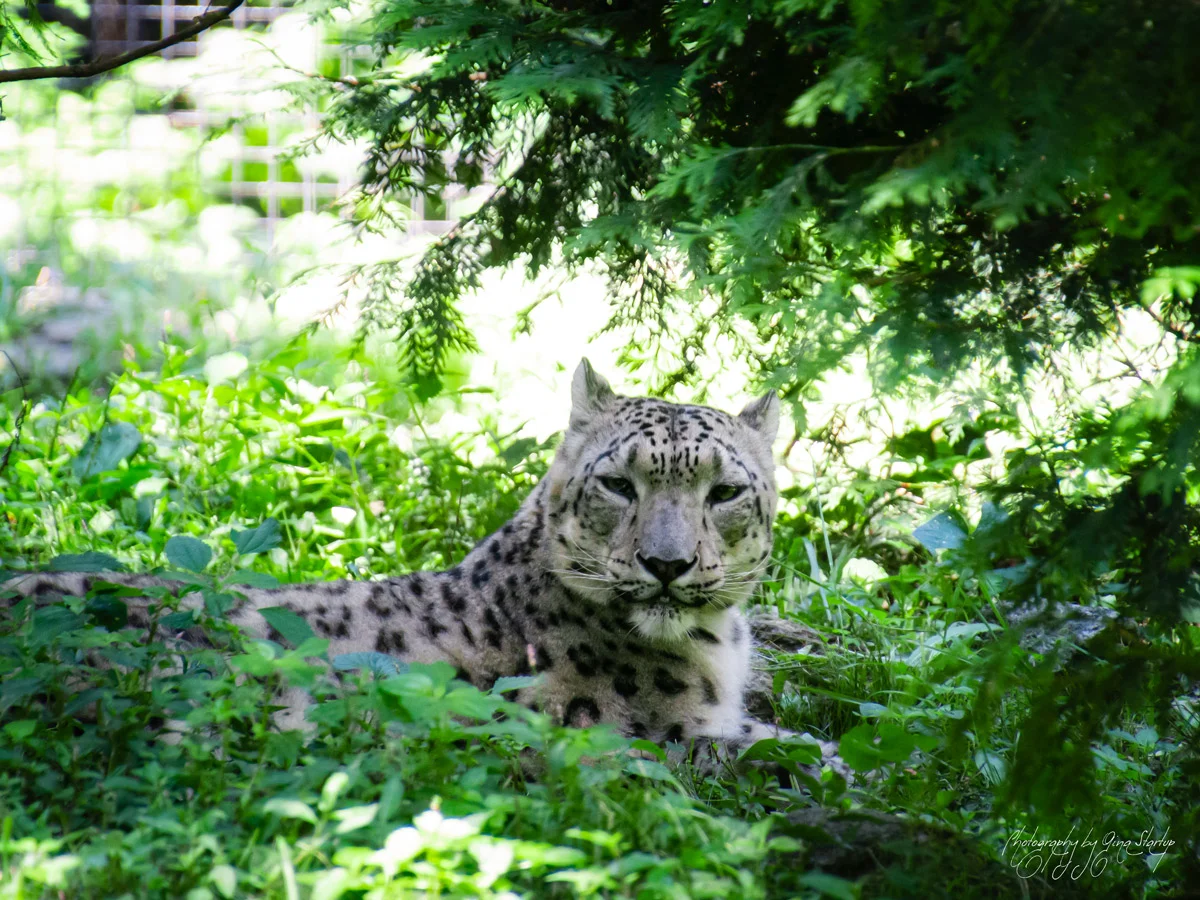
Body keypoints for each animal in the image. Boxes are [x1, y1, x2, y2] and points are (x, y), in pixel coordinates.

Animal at [3, 360, 838, 770]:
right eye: (617, 484)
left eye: (724, 492)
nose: (666, 564)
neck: (715, 647)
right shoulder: (654, 733)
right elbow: (776, 747)